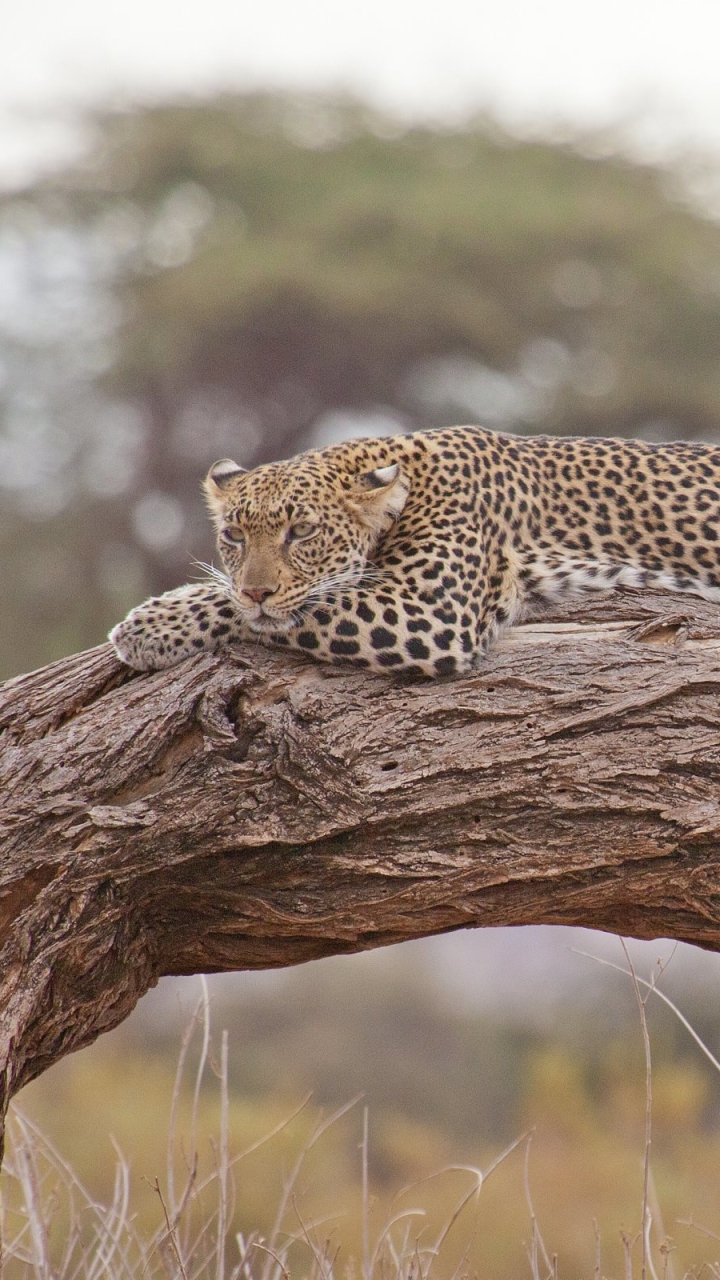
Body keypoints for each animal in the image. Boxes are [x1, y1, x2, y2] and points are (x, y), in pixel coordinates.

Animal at [107, 424, 720, 680]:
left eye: (301, 532)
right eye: (234, 536)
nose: (257, 588)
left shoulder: (429, 611)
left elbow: (279, 610)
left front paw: (149, 626)